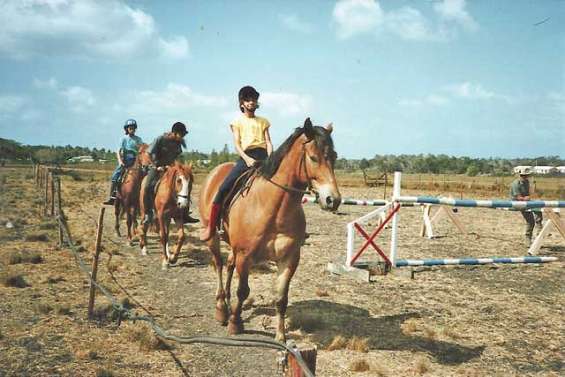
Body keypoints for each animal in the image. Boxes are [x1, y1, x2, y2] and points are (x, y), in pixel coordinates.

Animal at [198, 117, 340, 340]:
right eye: (313, 158)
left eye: (334, 157)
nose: (333, 200)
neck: (274, 207)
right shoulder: (245, 255)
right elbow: (243, 290)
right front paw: (235, 323)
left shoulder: (289, 258)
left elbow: (281, 298)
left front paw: (281, 336)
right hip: (213, 238)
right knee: (219, 265)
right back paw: (221, 308)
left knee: (228, 265)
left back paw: (227, 303)